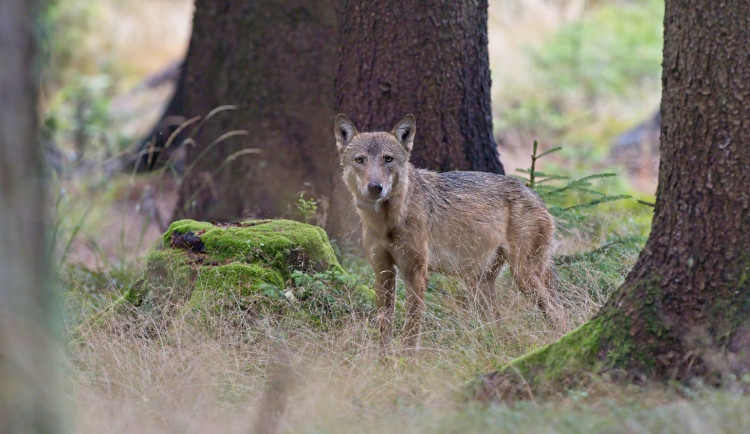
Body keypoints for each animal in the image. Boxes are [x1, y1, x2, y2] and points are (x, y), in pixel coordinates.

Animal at [334, 114, 564, 350]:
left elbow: (411, 330)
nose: (375, 187)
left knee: (559, 312)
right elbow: (384, 328)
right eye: (360, 160)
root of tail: (538, 198)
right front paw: (384, 358)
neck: (386, 222)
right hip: (479, 285)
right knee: (498, 322)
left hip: (522, 276)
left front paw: (406, 358)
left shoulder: (416, 273)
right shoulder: (383, 272)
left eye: (388, 159)